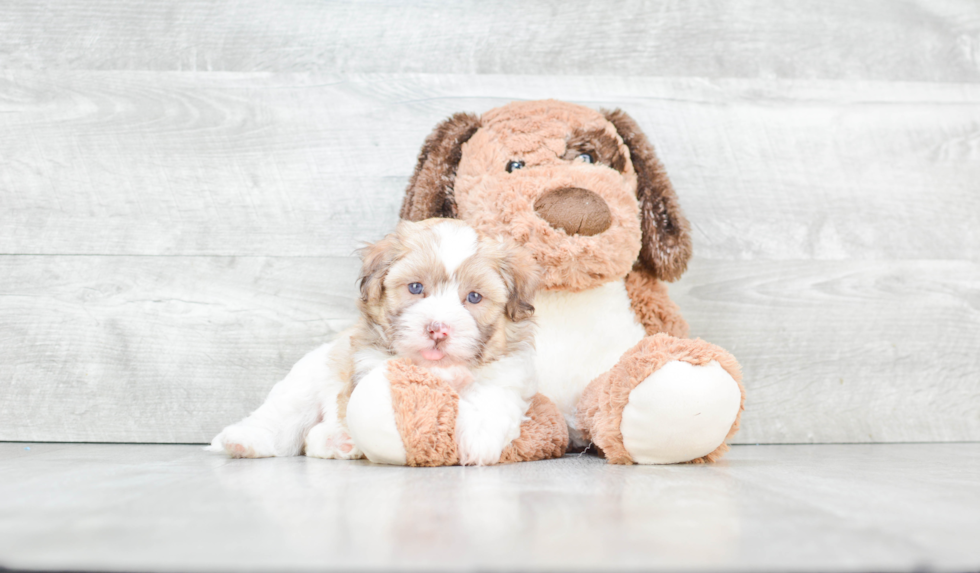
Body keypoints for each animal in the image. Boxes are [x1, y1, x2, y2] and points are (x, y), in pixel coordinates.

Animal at [208, 219, 540, 464]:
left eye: (474, 297)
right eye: (415, 287)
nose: (438, 329)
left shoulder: (508, 373)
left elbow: (492, 397)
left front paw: (479, 438)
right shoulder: (368, 364)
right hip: (303, 385)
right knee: (283, 422)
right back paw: (246, 441)